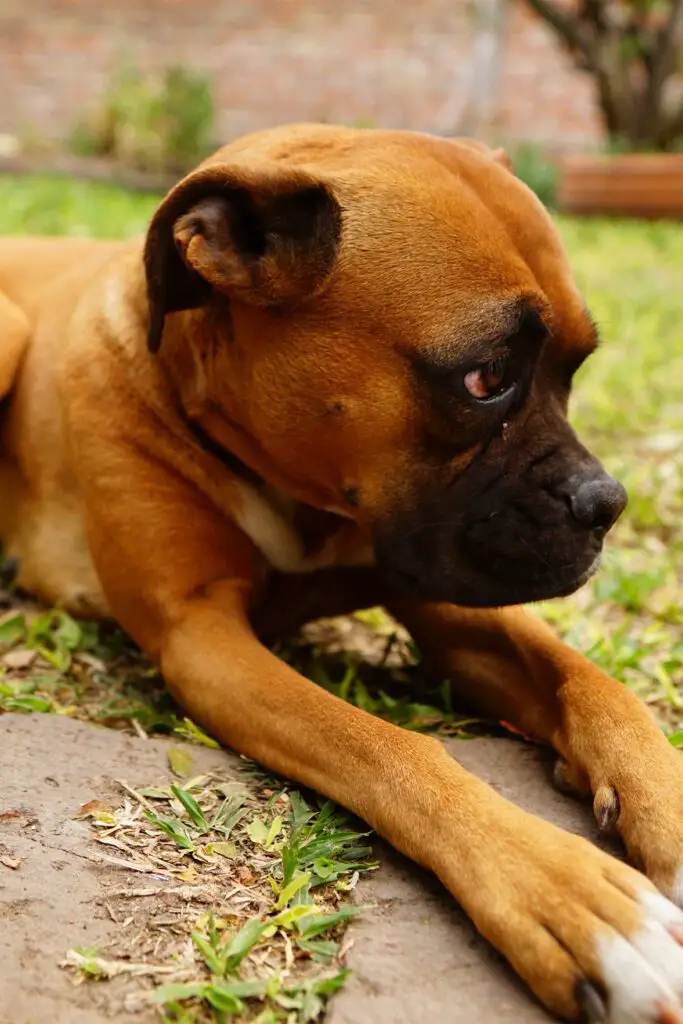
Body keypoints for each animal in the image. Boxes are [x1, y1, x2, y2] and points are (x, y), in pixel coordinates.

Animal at [1, 123, 683, 1019]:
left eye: (573, 371)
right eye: (486, 377)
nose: (606, 503)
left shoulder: (451, 607)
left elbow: (598, 688)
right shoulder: (204, 640)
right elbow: (391, 749)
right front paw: (576, 898)